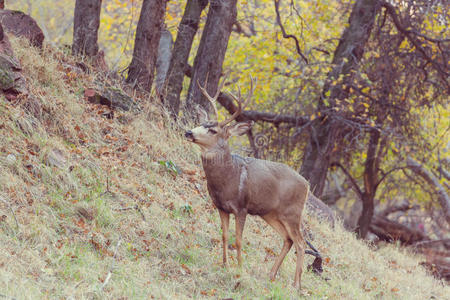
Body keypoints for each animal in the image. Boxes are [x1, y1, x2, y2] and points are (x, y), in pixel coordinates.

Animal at [185, 74, 322, 288]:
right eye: (202, 124)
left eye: (213, 130)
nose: (189, 132)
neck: (228, 178)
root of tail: (307, 185)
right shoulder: (221, 206)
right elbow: (224, 236)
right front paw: (224, 265)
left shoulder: (242, 207)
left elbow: (239, 240)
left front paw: (240, 270)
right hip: (271, 213)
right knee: (288, 239)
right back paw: (271, 275)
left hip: (293, 212)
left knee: (300, 242)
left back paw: (296, 285)